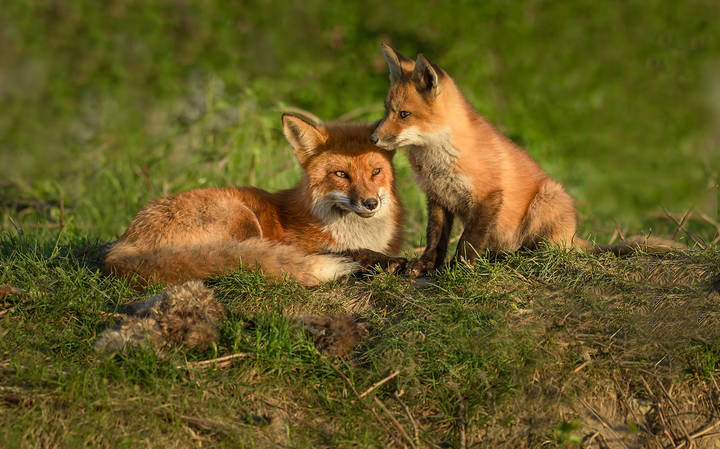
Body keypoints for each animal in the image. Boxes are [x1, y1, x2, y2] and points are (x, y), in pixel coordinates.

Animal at [104, 113, 406, 287]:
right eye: (341, 174)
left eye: (375, 172)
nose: (370, 203)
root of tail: (121, 247)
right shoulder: (305, 245)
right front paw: (383, 262)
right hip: (241, 217)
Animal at [371, 44, 683, 276]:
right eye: (387, 110)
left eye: (404, 114)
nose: (373, 138)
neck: (438, 159)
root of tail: (572, 235)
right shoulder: (438, 198)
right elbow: (435, 238)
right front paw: (426, 265)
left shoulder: (489, 196)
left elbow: (468, 241)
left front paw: (459, 269)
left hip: (546, 200)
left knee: (544, 251)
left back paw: (511, 257)